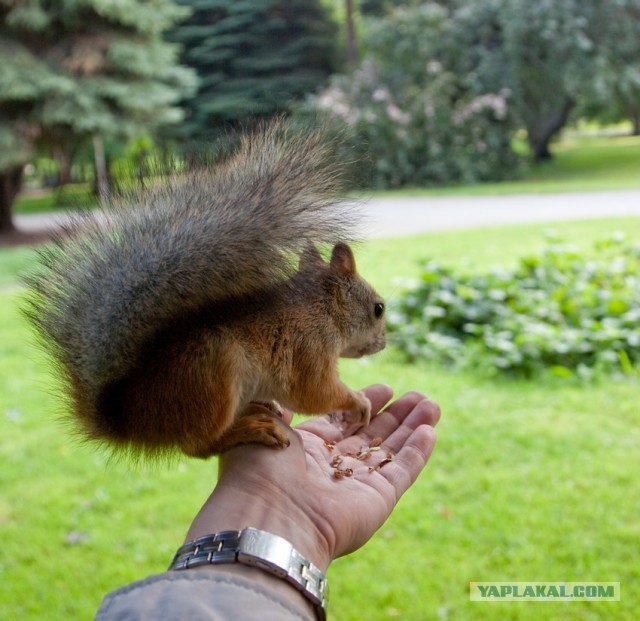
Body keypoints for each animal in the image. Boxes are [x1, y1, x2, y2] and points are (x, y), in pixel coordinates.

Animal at [23, 122, 384, 460]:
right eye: (378, 308)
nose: (383, 344)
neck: (322, 308)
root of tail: (135, 423)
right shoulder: (309, 349)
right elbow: (314, 393)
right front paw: (359, 402)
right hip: (214, 374)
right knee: (198, 446)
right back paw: (250, 430)